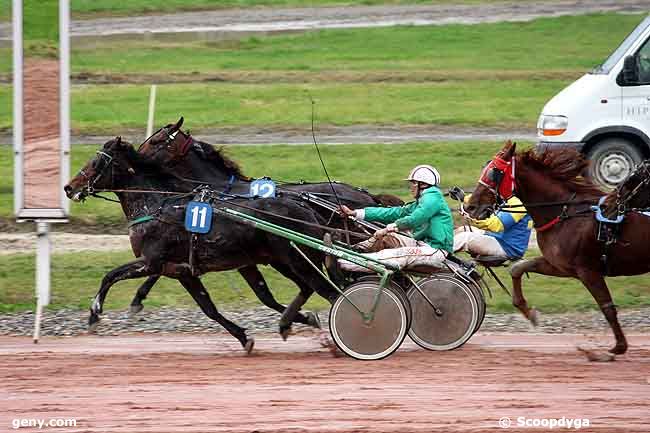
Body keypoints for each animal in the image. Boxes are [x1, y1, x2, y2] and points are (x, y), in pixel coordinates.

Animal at [64, 138, 340, 352]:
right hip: (285, 260)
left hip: (297, 260)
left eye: (96, 162)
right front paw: (244, 338)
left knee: (331, 293)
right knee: (311, 288)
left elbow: (110, 276)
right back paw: (290, 324)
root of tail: (306, 207)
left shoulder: (150, 262)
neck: (157, 206)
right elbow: (209, 308)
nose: (69, 187)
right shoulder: (180, 271)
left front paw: (94, 314)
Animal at [464, 140, 648, 352]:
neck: (566, 213)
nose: (470, 206)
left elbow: (607, 307)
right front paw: (529, 312)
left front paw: (618, 347)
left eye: (494, 172)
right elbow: (518, 268)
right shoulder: (562, 266)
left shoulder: (588, 270)